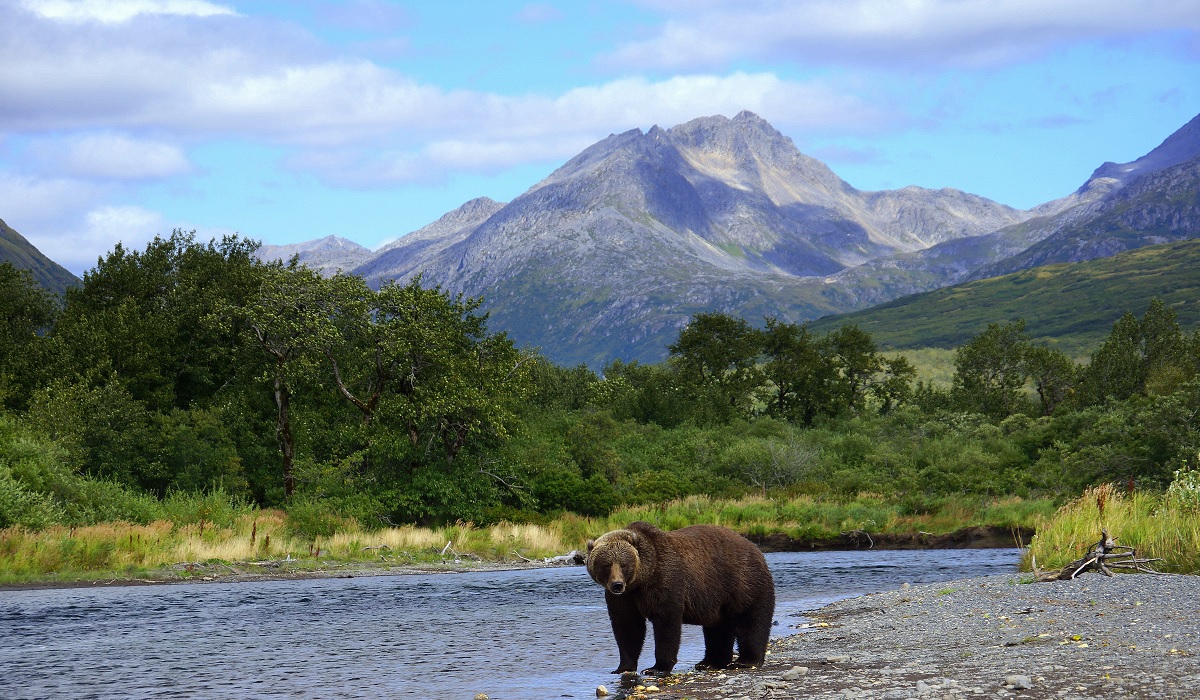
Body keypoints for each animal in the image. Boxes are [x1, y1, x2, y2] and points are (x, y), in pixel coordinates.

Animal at [585, 523, 772, 677]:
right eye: (606, 564)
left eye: (624, 564)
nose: (617, 585)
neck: (641, 580)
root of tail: (756, 548)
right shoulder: (624, 598)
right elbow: (627, 626)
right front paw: (623, 667)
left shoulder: (665, 580)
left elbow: (666, 623)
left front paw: (656, 668)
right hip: (718, 598)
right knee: (718, 628)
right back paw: (709, 663)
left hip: (742, 582)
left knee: (750, 620)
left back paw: (746, 661)